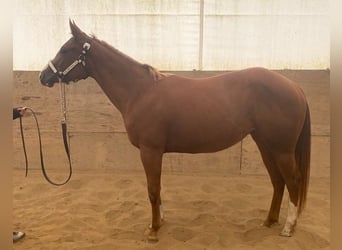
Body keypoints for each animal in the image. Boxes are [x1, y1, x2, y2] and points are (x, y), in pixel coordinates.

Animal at [39, 20, 310, 241]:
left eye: (65, 50)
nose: (43, 76)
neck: (140, 91)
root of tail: (295, 87)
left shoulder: (150, 151)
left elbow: (152, 190)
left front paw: (153, 230)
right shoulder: (155, 152)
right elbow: (157, 189)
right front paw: (159, 221)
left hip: (282, 149)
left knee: (293, 181)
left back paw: (288, 228)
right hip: (266, 145)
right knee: (278, 181)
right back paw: (269, 221)